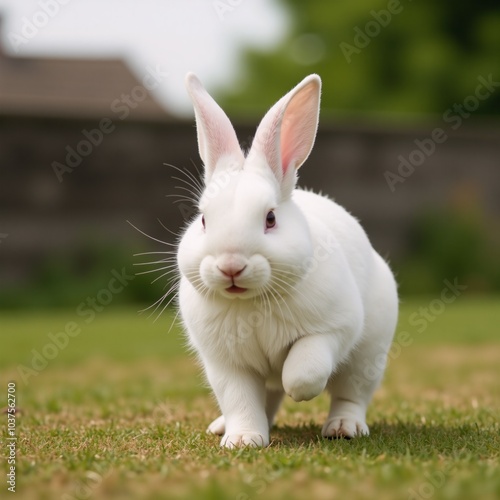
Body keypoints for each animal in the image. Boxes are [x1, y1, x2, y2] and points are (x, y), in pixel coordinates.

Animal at [177, 71, 398, 450]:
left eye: (270, 218)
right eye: (203, 219)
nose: (231, 266)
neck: (252, 301)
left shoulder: (335, 328)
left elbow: (305, 367)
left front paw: (300, 391)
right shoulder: (226, 363)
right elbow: (239, 400)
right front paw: (243, 440)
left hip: (368, 354)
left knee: (350, 394)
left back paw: (344, 427)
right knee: (265, 400)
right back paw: (223, 427)